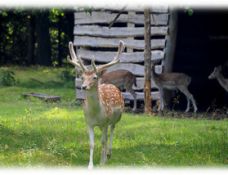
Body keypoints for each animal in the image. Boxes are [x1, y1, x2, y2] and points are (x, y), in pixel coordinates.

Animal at [67, 40, 124, 169]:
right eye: (82, 77)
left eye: (94, 77)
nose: (83, 87)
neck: (96, 113)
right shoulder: (89, 123)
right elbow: (92, 143)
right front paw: (90, 165)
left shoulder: (105, 122)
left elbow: (103, 141)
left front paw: (102, 162)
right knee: (106, 136)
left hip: (116, 118)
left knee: (111, 132)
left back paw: (108, 154)